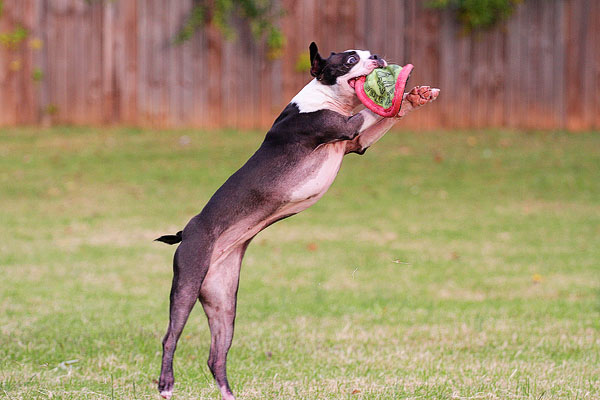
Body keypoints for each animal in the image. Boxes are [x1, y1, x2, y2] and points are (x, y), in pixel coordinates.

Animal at [155, 41, 438, 400]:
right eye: (350, 59)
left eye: (369, 52)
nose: (377, 58)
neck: (328, 97)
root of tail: (186, 230)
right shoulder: (346, 126)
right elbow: (373, 112)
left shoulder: (357, 142)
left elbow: (390, 115)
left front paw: (417, 96)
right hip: (188, 283)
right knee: (170, 337)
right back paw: (166, 385)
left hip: (223, 301)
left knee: (216, 355)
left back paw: (228, 393)